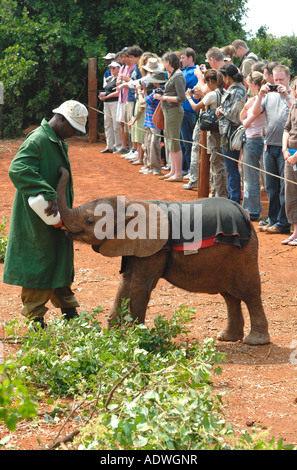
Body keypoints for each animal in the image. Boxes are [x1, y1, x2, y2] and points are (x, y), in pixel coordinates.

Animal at [56, 168, 270, 346]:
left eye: (89, 221)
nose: (61, 169)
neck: (131, 203)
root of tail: (245, 215)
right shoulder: (137, 247)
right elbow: (125, 284)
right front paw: (109, 338)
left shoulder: (155, 250)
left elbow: (140, 286)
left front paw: (136, 339)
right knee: (230, 296)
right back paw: (227, 337)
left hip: (243, 253)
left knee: (249, 293)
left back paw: (255, 341)